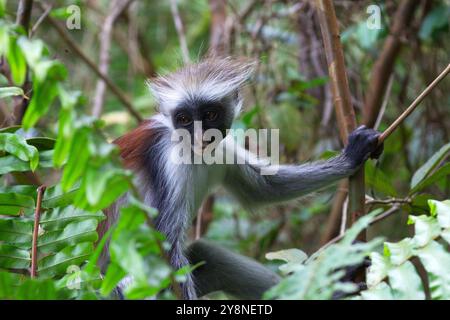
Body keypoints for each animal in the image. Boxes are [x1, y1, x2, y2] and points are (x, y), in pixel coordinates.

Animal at [99, 57, 384, 300]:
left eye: (210, 115)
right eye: (184, 119)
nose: (201, 137)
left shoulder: (222, 148)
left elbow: (263, 189)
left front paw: (351, 157)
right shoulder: (169, 164)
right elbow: (165, 247)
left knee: (208, 254)